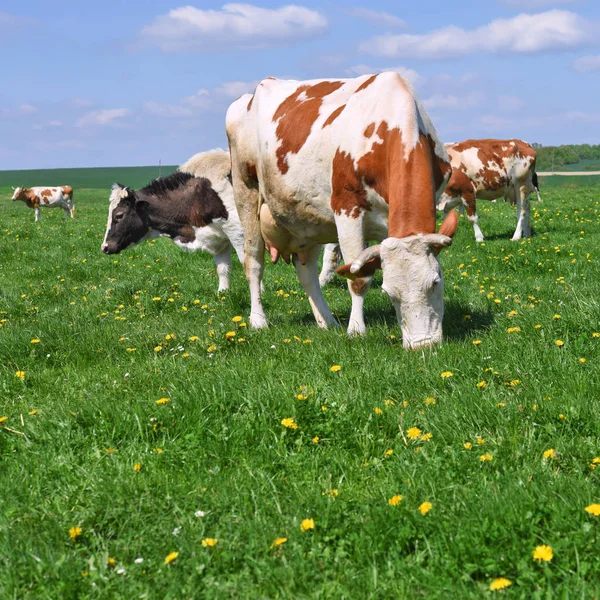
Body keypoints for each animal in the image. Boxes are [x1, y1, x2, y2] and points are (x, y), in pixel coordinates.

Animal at [227, 72, 458, 350]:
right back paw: (258, 320)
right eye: (390, 293)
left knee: (306, 272)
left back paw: (327, 321)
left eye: (436, 282)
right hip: (245, 192)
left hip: (305, 219)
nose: (422, 345)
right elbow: (358, 278)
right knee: (253, 262)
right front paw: (356, 330)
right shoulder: (347, 209)